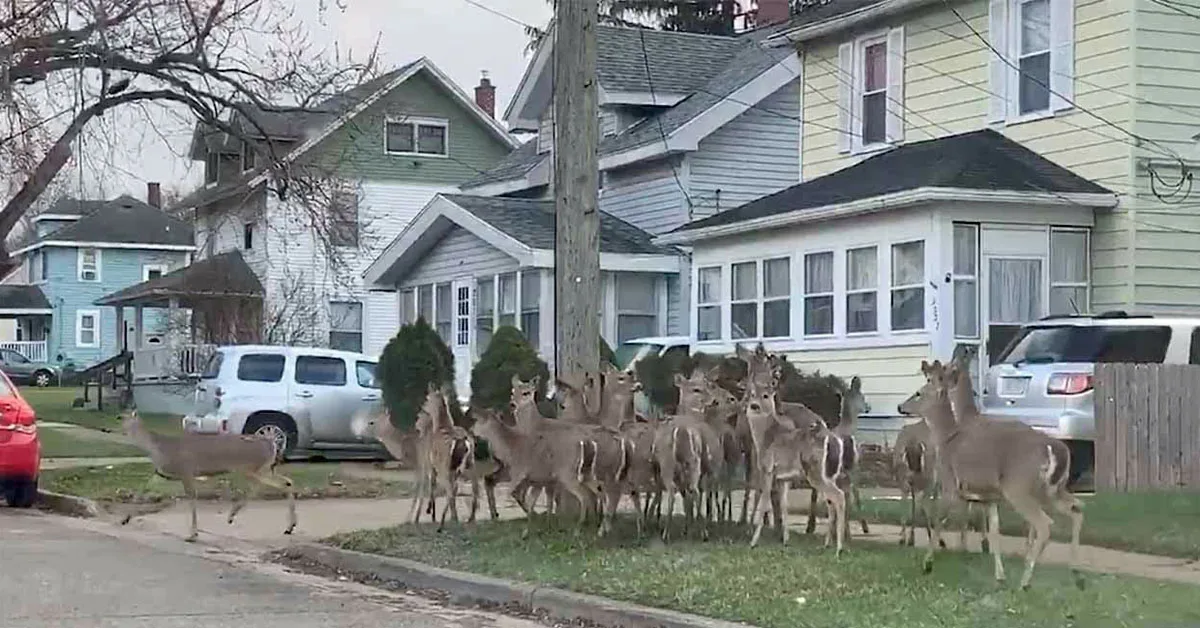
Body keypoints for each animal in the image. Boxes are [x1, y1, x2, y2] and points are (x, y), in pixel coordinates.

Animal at [120, 409, 296, 543]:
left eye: (121, 417)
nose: (119, 430)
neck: (160, 448)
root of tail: (271, 443)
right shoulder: (161, 473)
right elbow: (141, 489)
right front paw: (124, 519)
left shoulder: (186, 470)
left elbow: (192, 498)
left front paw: (193, 535)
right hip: (264, 468)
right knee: (286, 482)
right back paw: (288, 526)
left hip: (251, 468)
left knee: (268, 485)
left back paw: (234, 515)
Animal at [899, 359, 1084, 590]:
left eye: (918, 393)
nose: (900, 407)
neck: (946, 438)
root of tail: (1055, 448)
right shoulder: (989, 497)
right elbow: (994, 532)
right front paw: (999, 576)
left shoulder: (951, 484)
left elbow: (940, 520)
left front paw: (927, 564)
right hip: (1052, 489)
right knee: (1077, 508)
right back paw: (1077, 575)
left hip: (1018, 487)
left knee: (1045, 524)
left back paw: (1025, 582)